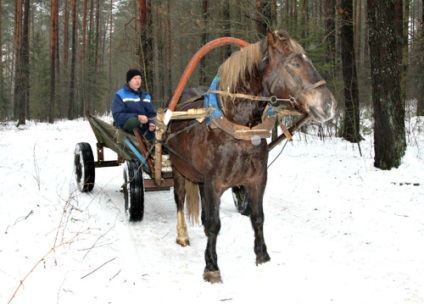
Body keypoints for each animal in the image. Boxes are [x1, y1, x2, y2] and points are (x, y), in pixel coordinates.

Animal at [164, 30, 336, 282]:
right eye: (295, 63)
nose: (329, 105)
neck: (239, 127)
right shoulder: (214, 183)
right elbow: (214, 224)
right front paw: (211, 266)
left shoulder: (257, 179)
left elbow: (257, 218)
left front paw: (262, 255)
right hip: (178, 168)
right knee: (179, 198)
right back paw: (183, 235)